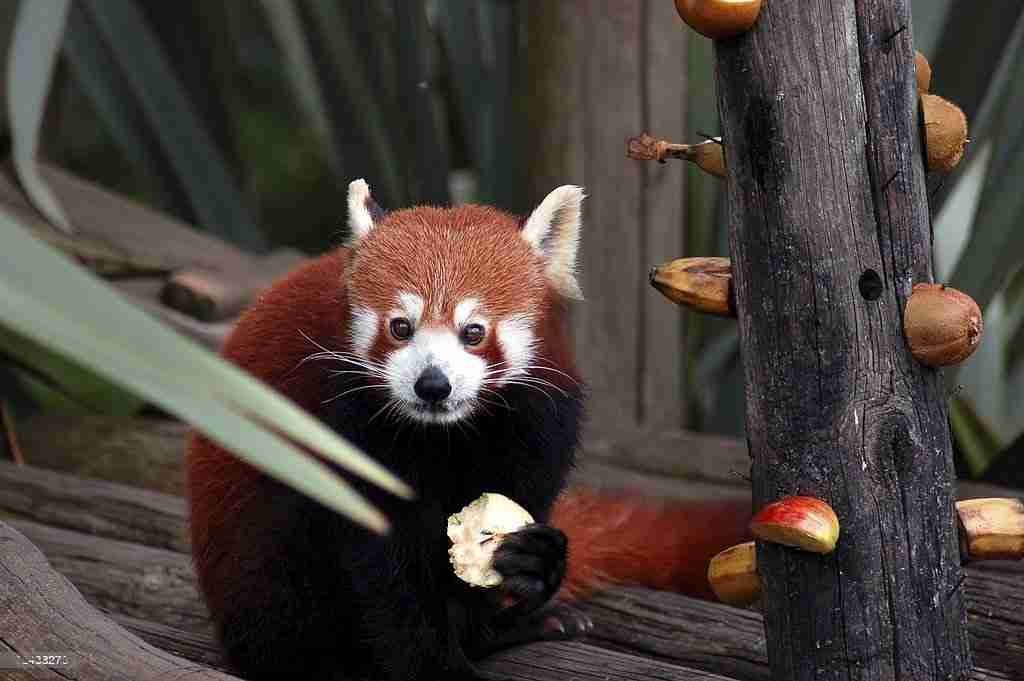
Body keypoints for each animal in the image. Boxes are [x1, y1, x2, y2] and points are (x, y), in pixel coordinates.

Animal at [188, 179, 749, 679]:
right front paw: (434, 668)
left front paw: (526, 567)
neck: (449, 434)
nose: (432, 384)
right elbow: (384, 574)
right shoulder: (345, 426)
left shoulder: (538, 425)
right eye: (401, 327)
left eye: (473, 332)